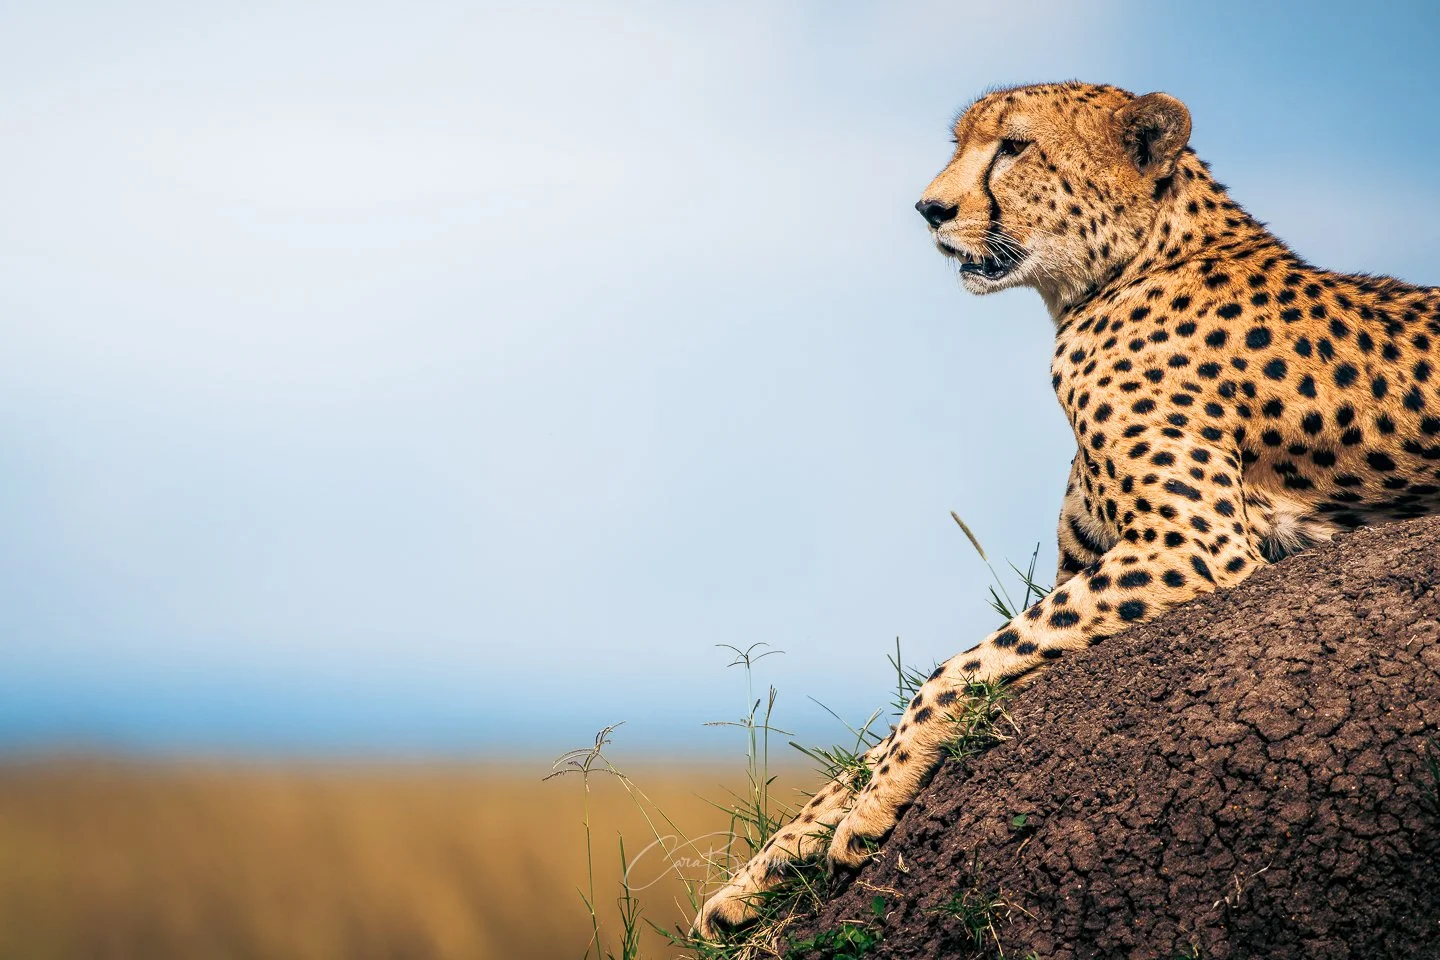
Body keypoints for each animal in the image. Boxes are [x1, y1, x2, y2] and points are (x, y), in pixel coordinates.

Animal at [694, 80, 1440, 940]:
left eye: (1014, 147)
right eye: (961, 143)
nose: (929, 208)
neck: (1130, 265)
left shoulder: (1193, 544)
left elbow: (952, 670)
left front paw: (871, 808)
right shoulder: (1096, 559)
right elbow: (873, 741)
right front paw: (769, 866)